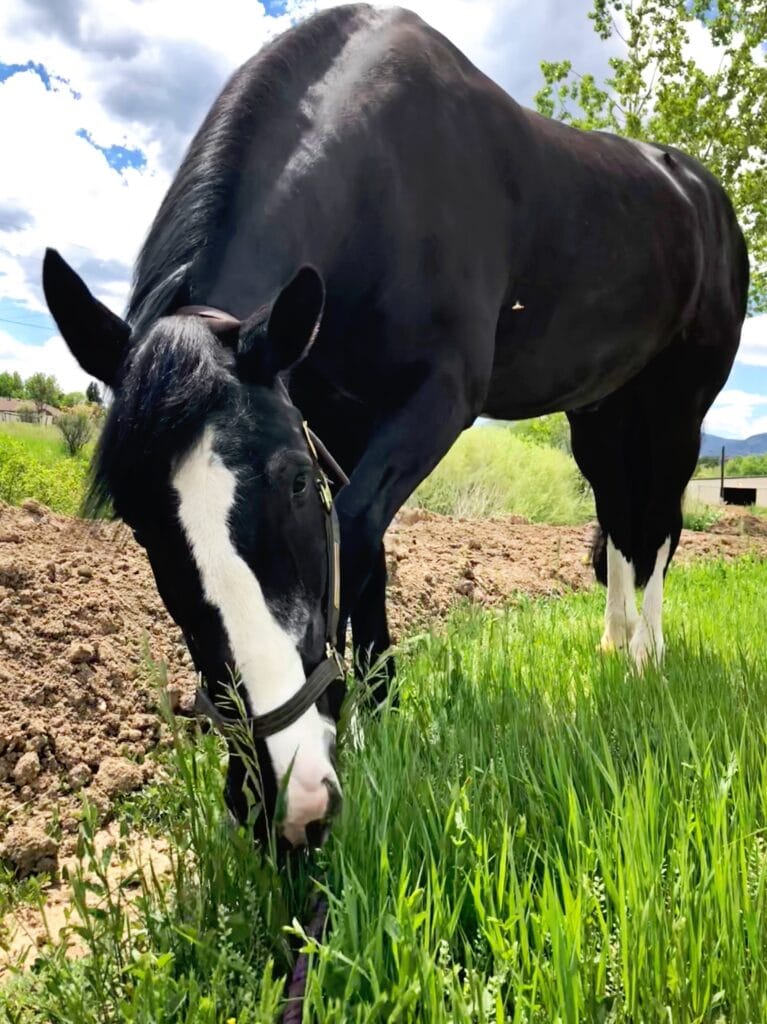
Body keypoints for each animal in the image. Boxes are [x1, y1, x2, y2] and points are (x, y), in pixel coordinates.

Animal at [42, 3, 749, 847]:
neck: (385, 179)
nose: (276, 799)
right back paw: (610, 644)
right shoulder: (329, 412)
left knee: (659, 526)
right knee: (619, 521)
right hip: (600, 413)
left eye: (290, 485)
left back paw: (646, 656)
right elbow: (363, 550)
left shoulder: (435, 401)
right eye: (138, 518)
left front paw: (355, 725)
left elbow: (350, 531)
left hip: (677, 408)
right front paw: (378, 720)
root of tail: (702, 195)